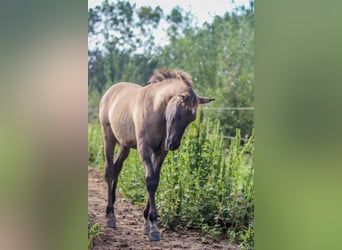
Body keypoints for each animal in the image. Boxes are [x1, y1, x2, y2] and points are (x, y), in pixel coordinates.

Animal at [99, 68, 215, 240]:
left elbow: (155, 180)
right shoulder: (144, 149)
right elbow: (150, 181)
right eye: (177, 114)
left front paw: (147, 223)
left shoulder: (160, 152)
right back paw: (111, 216)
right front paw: (153, 227)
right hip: (109, 138)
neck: (155, 108)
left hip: (125, 145)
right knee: (109, 170)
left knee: (117, 168)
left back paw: (112, 205)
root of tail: (110, 91)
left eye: (191, 119)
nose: (173, 144)